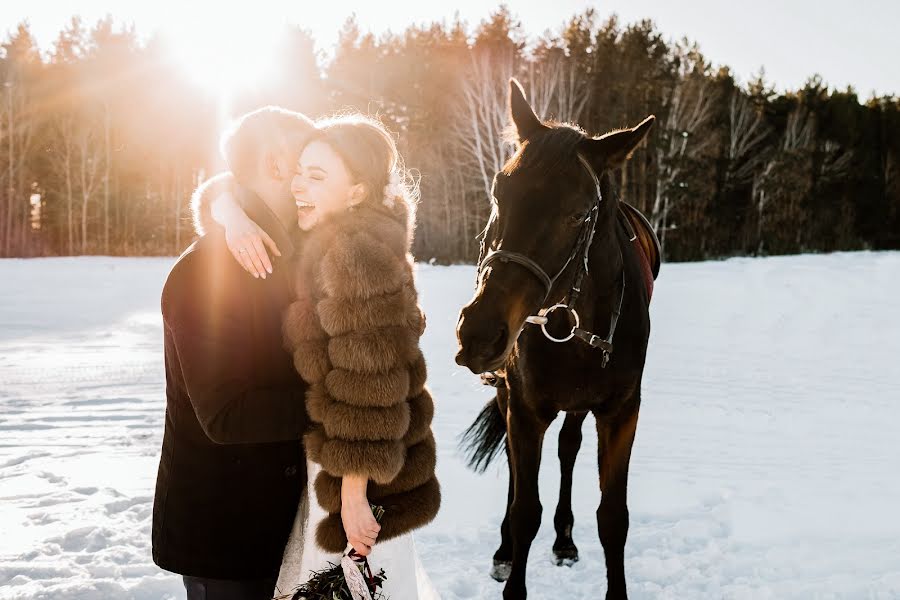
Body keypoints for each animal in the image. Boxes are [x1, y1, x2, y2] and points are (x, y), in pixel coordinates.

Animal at [458, 81, 652, 600]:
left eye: (579, 214)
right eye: (499, 191)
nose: (479, 332)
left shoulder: (621, 410)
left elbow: (614, 517)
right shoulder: (525, 405)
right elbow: (525, 509)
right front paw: (511, 563)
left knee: (568, 447)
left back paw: (564, 538)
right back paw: (505, 550)